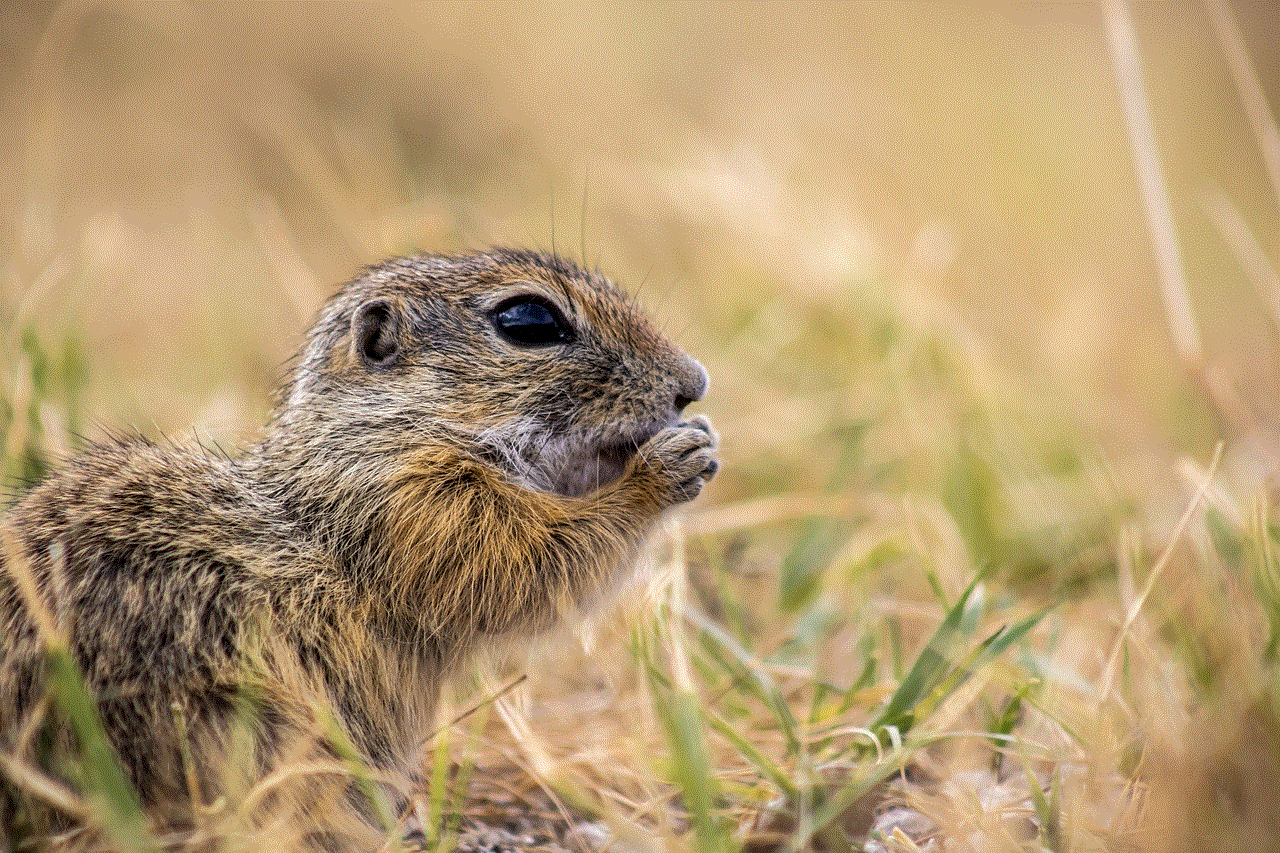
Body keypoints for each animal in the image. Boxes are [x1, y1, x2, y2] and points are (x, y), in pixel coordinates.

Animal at [0, 245, 721, 845]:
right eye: (528, 320)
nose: (693, 383)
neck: (379, 432)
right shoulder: (423, 507)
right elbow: (535, 564)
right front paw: (664, 469)